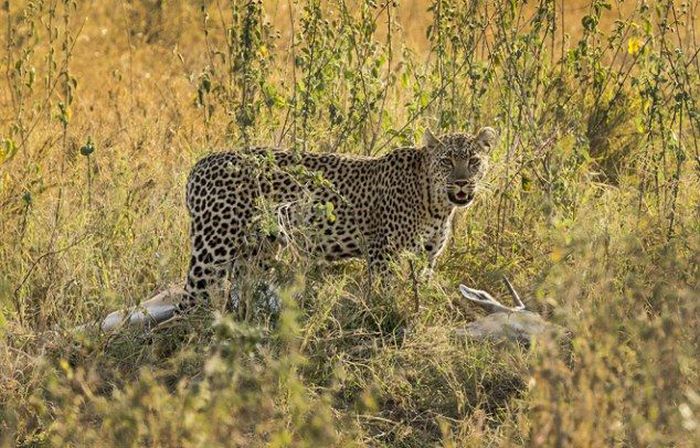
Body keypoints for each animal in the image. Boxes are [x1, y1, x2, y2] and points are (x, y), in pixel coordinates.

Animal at [180, 127, 498, 312]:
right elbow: (385, 291)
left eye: (473, 161)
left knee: (241, 293)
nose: (462, 183)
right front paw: (384, 315)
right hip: (214, 247)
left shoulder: (426, 257)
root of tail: (202, 163)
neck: (437, 204)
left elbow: (419, 288)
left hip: (257, 250)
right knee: (192, 298)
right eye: (446, 161)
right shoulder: (383, 252)